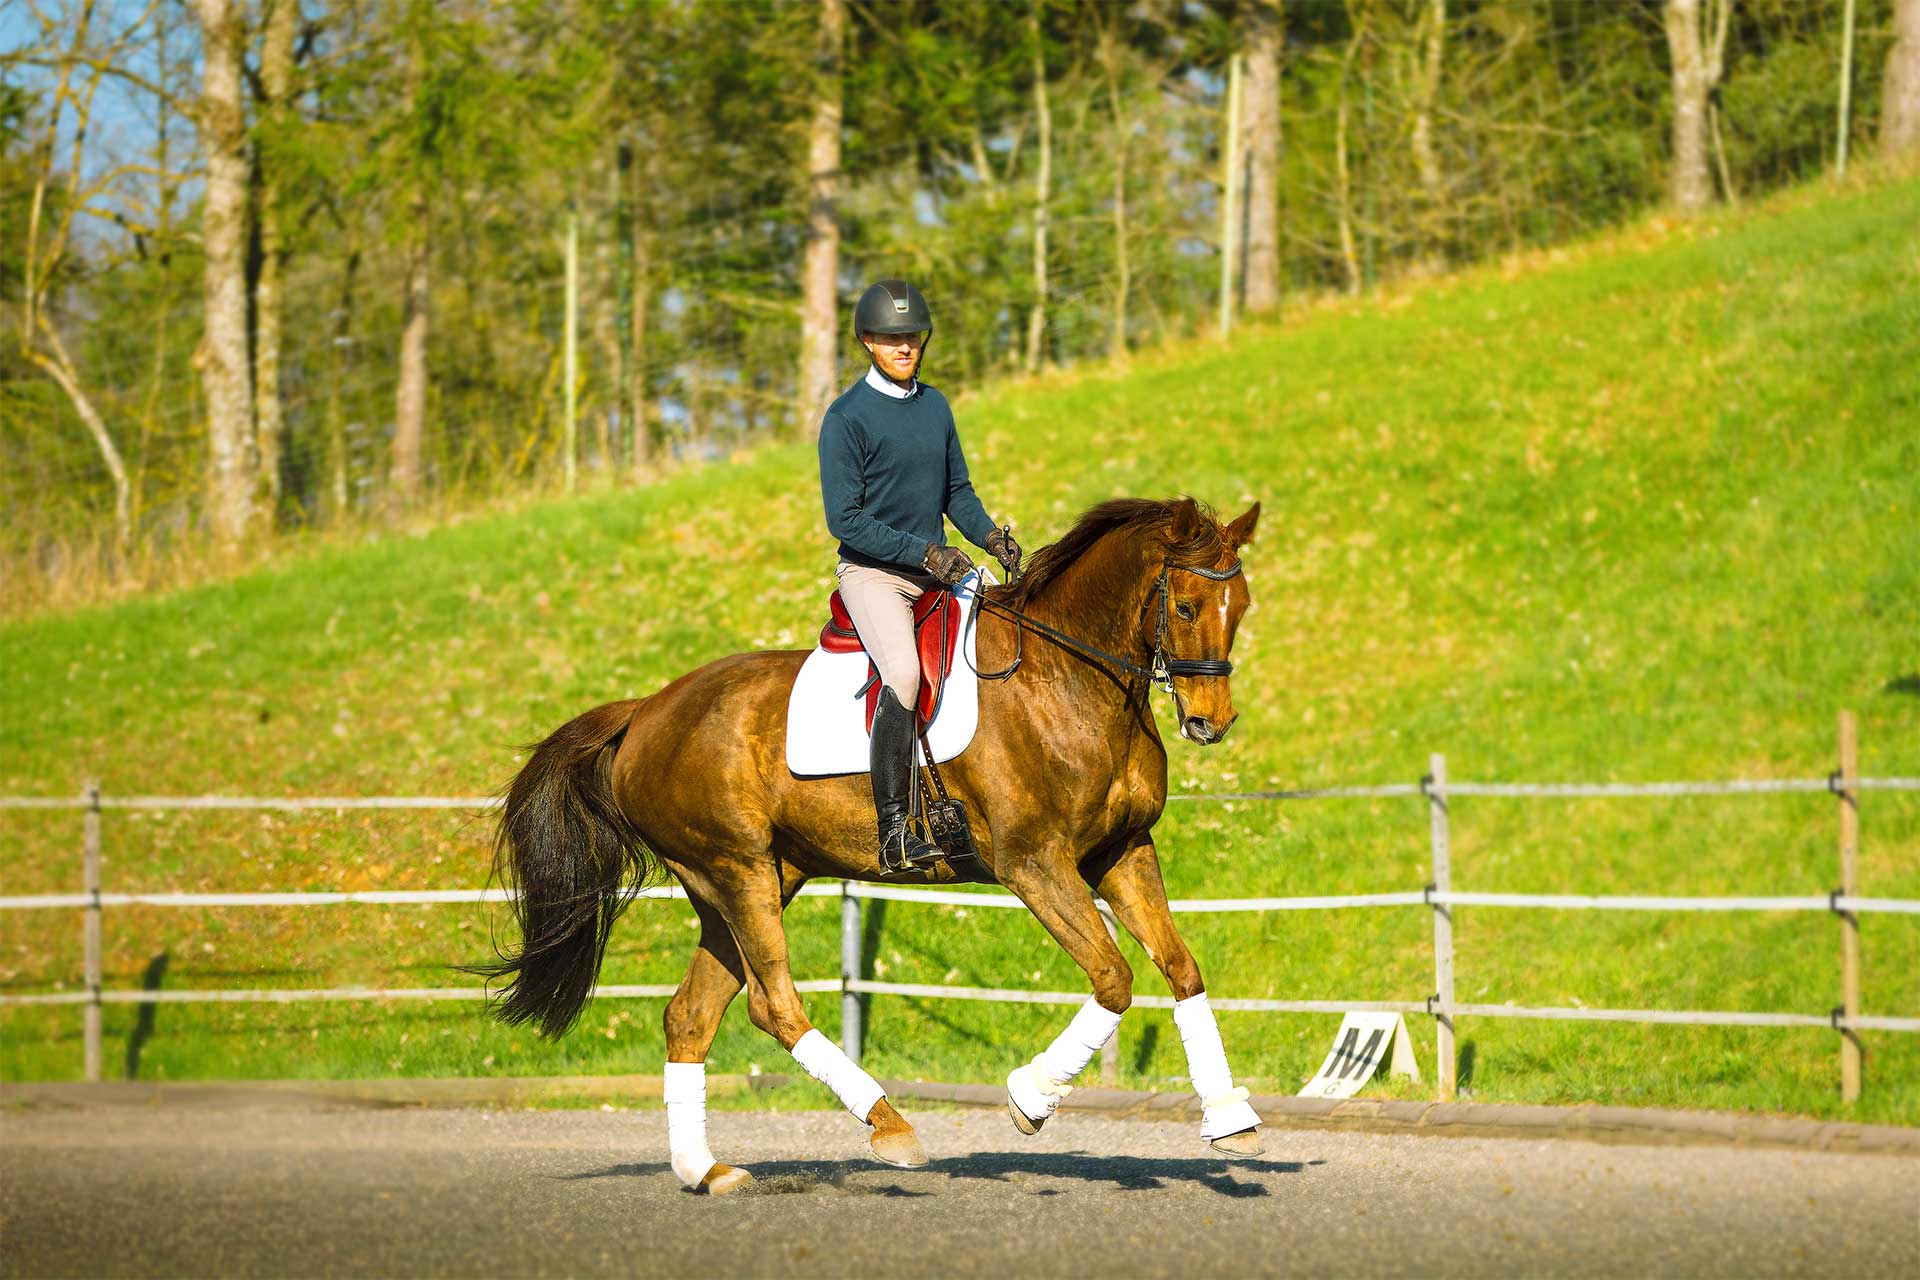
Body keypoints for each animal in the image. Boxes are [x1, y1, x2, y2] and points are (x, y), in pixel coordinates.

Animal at [472, 495, 1267, 1197]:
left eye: (1242, 607)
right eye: (1186, 607)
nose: (1212, 722)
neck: (1069, 678)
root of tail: (644, 712)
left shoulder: (1123, 851)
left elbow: (1181, 969)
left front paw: (1230, 1119)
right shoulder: (1035, 864)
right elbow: (1113, 977)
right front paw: (1029, 1097)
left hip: (742, 884)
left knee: (691, 1017)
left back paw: (707, 1171)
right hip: (738, 871)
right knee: (774, 1006)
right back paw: (891, 1128)